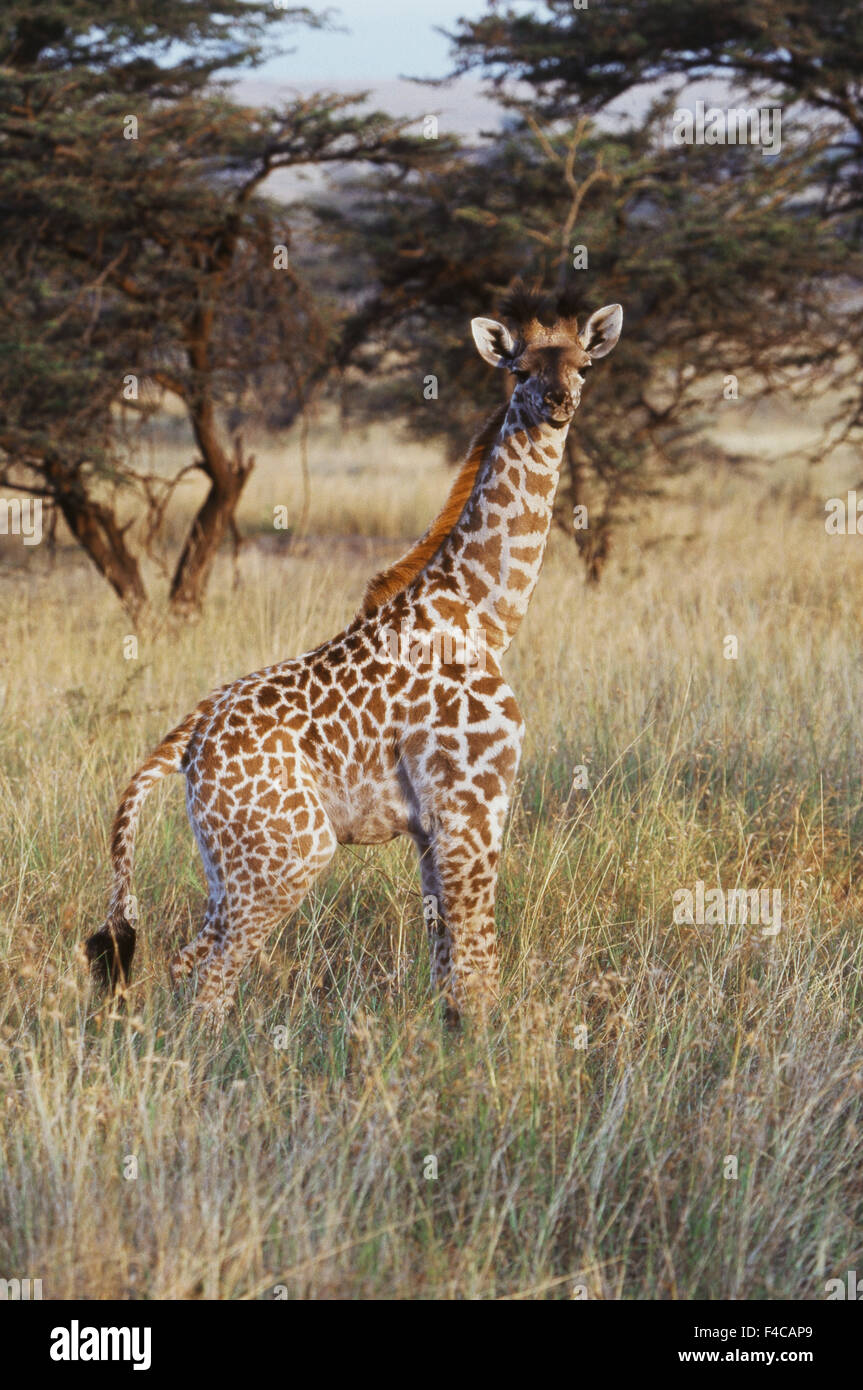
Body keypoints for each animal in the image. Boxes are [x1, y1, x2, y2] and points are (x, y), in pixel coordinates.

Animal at [85, 285, 623, 1026]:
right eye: (517, 370)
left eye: (583, 365)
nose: (558, 402)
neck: (484, 612)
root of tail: (186, 740)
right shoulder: (472, 804)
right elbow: (479, 967)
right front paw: (493, 1051)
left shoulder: (434, 825)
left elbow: (448, 966)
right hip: (291, 854)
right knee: (213, 977)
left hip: (228, 862)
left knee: (186, 960)